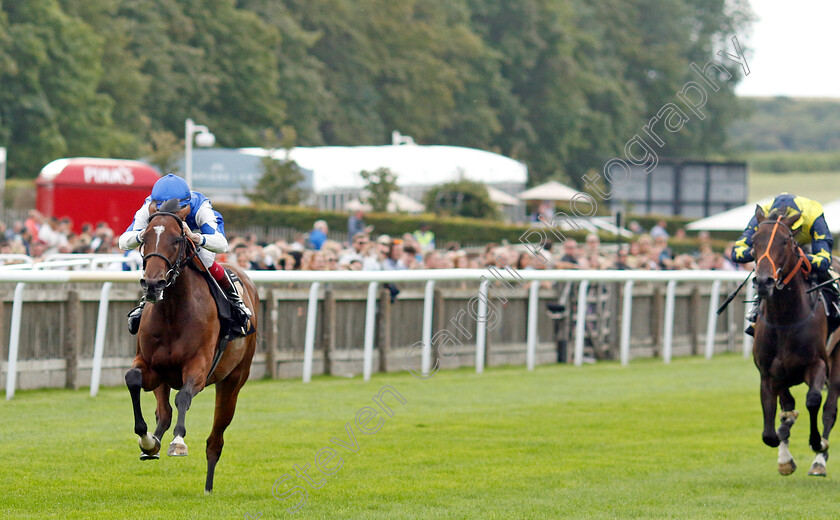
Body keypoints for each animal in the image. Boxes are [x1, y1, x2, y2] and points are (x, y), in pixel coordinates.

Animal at [125, 198, 260, 492]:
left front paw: (178, 442)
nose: (153, 284)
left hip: (233, 381)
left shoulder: (199, 367)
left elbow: (184, 397)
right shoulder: (151, 366)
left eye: (177, 239)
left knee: (215, 439)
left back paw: (208, 486)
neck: (172, 311)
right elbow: (133, 379)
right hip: (165, 377)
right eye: (145, 238)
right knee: (163, 413)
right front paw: (147, 440)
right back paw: (153, 442)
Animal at [752, 206, 836, 476]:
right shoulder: (769, 374)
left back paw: (819, 461)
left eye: (785, 241)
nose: (764, 281)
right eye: (754, 241)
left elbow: (813, 400)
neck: (785, 319)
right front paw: (784, 455)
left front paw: (817, 442)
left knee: (830, 409)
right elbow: (770, 432)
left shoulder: (818, 364)